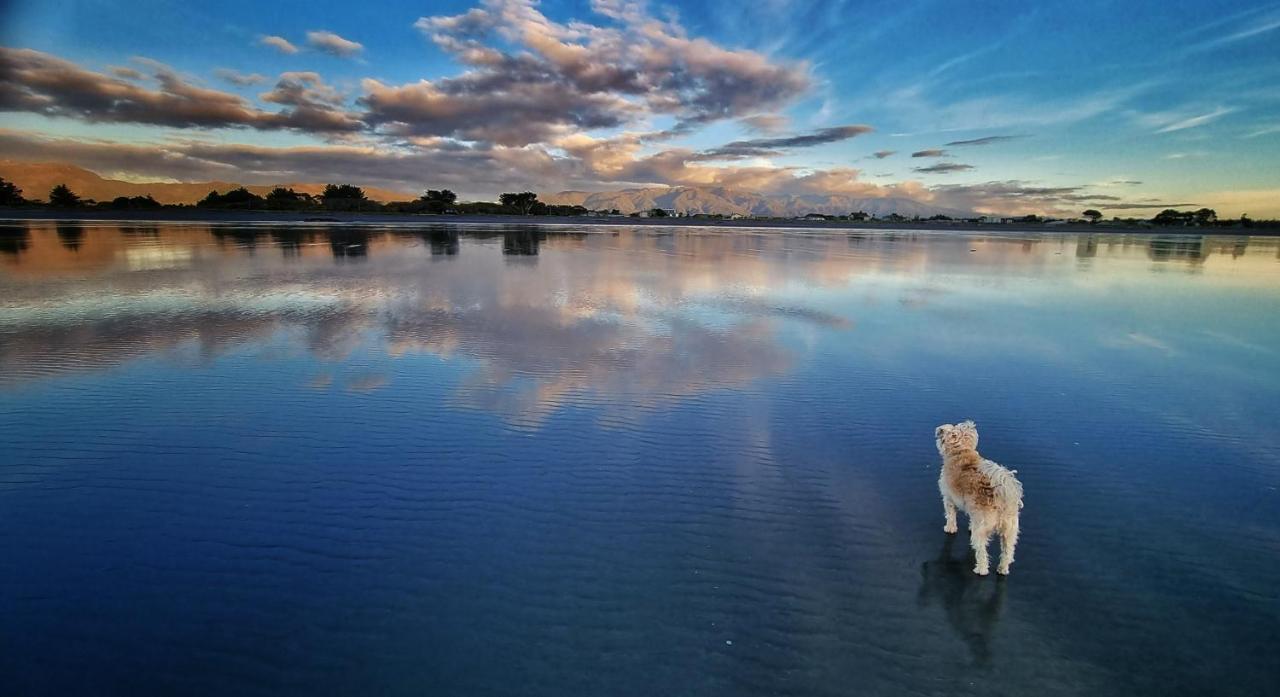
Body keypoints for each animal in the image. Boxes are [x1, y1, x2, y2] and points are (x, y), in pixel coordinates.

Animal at [936, 419, 1024, 575]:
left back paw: (981, 569)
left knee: (982, 552)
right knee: (1008, 552)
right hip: (1010, 531)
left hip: (982, 531)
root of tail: (1001, 500)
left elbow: (950, 515)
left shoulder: (948, 498)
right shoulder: (973, 511)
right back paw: (1002, 569)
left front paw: (950, 528)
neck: (961, 451)